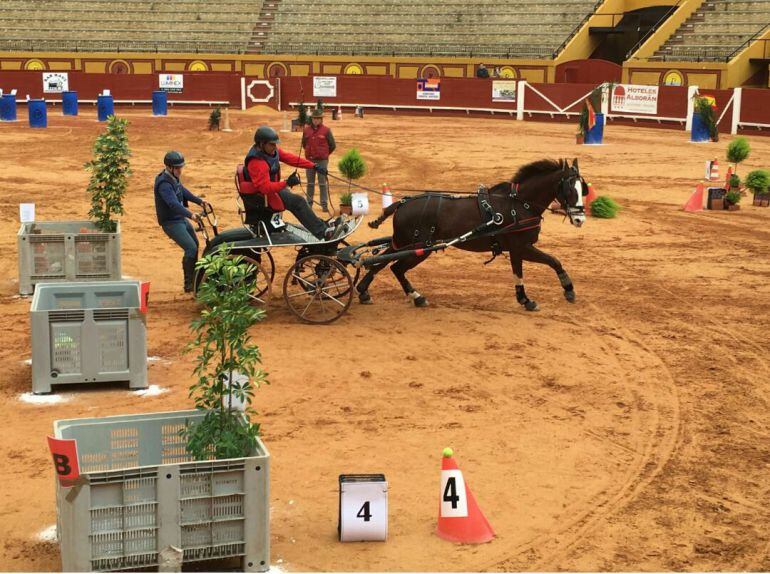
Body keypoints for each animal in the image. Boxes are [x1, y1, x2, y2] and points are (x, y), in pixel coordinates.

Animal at [356, 156, 584, 310]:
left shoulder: (517, 249)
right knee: (395, 267)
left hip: (402, 243)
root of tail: (402, 203)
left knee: (381, 262)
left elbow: (530, 269)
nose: (580, 219)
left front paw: (527, 298)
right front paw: (563, 290)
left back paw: (364, 290)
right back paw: (415, 296)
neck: (519, 204)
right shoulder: (521, 247)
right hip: (417, 248)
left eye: (584, 188)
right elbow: (548, 262)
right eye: (570, 189)